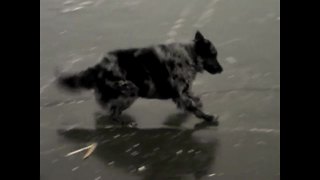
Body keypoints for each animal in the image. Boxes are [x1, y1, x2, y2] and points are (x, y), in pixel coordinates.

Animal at [57, 31, 222, 125]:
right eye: (213, 54)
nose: (222, 69)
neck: (189, 56)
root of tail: (98, 67)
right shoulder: (179, 93)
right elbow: (195, 108)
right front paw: (208, 117)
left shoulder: (184, 92)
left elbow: (195, 99)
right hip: (130, 90)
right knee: (112, 112)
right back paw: (123, 123)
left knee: (110, 109)